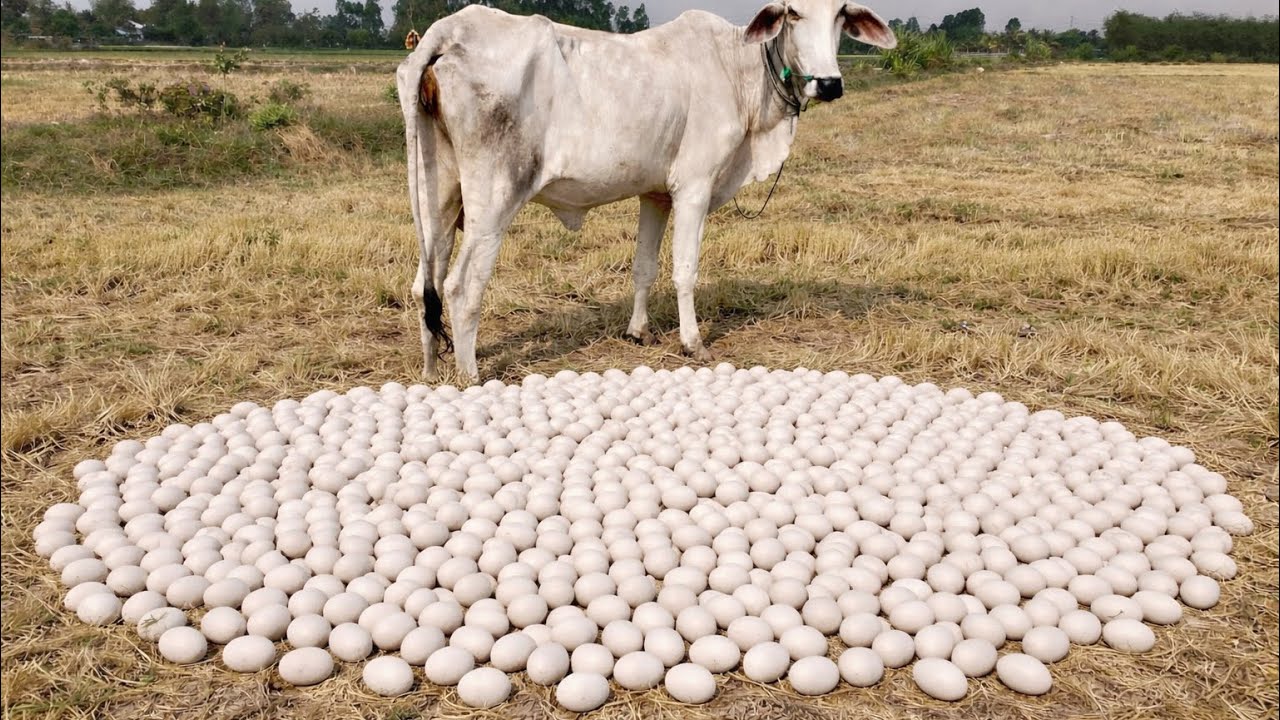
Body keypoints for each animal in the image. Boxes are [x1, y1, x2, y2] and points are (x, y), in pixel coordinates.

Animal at [396, 0, 896, 381]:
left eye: (841, 13)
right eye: (793, 12)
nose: (830, 83)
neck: (738, 70)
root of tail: (447, 31)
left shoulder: (655, 194)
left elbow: (644, 267)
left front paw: (638, 331)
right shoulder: (694, 187)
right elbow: (684, 270)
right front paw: (693, 342)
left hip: (437, 196)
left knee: (425, 285)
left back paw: (430, 370)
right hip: (494, 199)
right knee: (461, 286)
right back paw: (470, 374)